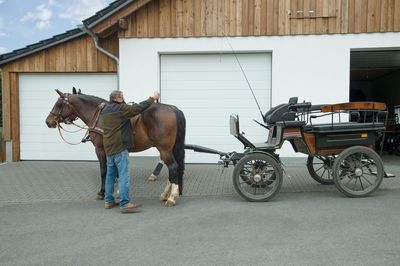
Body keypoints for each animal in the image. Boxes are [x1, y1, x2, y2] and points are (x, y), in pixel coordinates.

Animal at [45, 88, 186, 207]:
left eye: (59, 104)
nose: (48, 121)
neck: (98, 116)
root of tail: (173, 109)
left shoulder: (100, 149)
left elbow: (104, 171)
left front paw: (102, 193)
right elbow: (116, 171)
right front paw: (118, 192)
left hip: (164, 149)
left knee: (173, 167)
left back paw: (171, 197)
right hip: (168, 149)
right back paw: (166, 194)